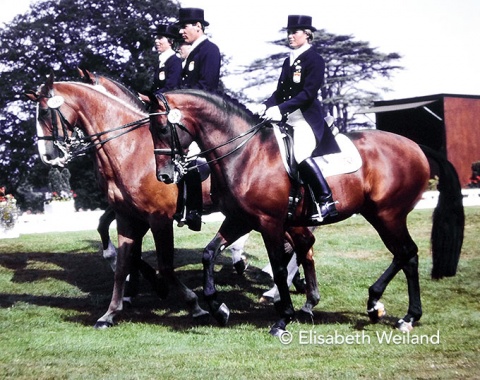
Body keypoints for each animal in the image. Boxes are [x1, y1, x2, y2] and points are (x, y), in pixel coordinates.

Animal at [24, 72, 212, 328]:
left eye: (44, 112)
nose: (47, 156)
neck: (130, 148)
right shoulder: (127, 214)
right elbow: (122, 257)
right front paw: (112, 310)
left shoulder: (158, 219)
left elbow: (164, 265)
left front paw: (193, 304)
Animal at [148, 90, 464, 336]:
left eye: (162, 128)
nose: (164, 176)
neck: (246, 153)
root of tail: (414, 145)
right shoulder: (240, 219)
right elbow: (209, 253)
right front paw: (219, 308)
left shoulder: (269, 222)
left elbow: (277, 266)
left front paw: (282, 319)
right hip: (379, 214)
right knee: (404, 255)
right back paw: (377, 305)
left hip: (389, 214)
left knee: (407, 252)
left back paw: (404, 314)